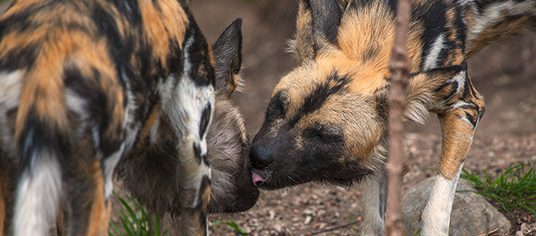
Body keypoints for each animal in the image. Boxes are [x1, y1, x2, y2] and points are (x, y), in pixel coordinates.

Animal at [251, 0, 536, 235]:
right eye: (277, 106)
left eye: (323, 135)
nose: (257, 157)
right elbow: (374, 219)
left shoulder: (464, 106)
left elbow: (435, 210)